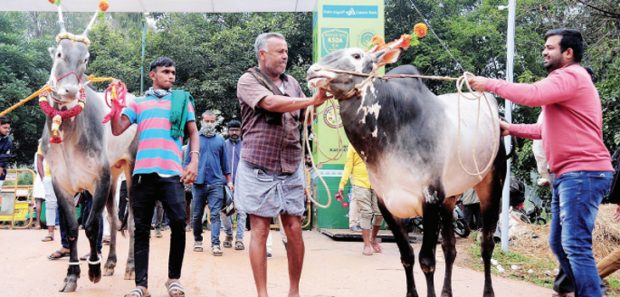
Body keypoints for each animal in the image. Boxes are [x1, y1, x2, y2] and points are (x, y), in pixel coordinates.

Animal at [308, 46, 506, 296]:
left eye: (356, 55)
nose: (313, 71)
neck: (393, 125)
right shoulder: (387, 203)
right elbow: (407, 257)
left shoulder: (430, 199)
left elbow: (427, 261)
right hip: (450, 199)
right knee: (450, 248)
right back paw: (446, 291)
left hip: (491, 186)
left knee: (486, 244)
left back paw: (487, 291)